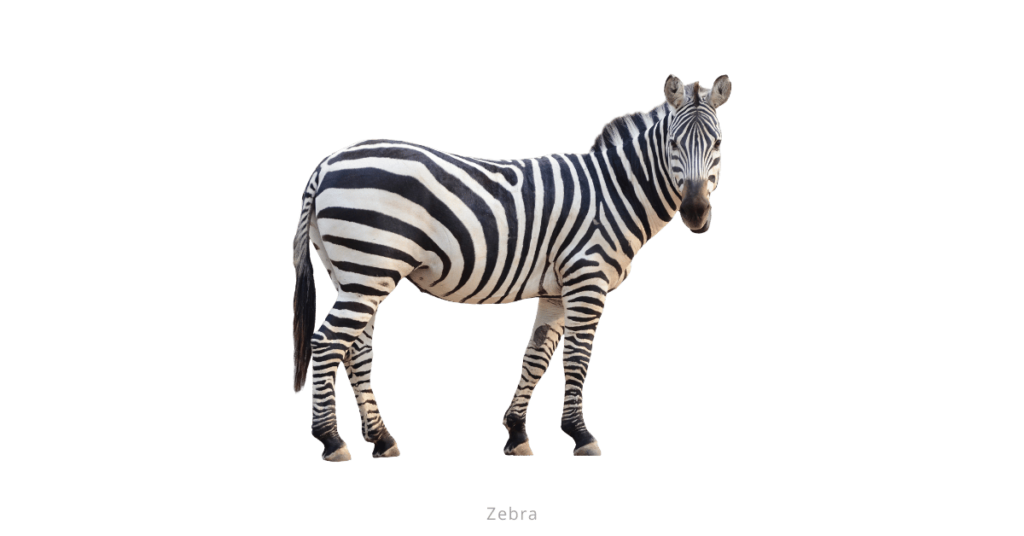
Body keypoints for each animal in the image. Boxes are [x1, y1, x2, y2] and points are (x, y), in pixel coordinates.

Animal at [292, 73, 733, 462]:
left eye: (718, 143)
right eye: (673, 143)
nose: (696, 213)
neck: (613, 193)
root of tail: (326, 164)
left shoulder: (556, 289)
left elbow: (536, 357)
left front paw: (518, 434)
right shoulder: (586, 279)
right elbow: (578, 356)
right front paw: (581, 434)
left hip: (354, 274)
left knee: (355, 350)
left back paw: (382, 440)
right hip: (369, 268)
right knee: (327, 343)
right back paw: (331, 441)